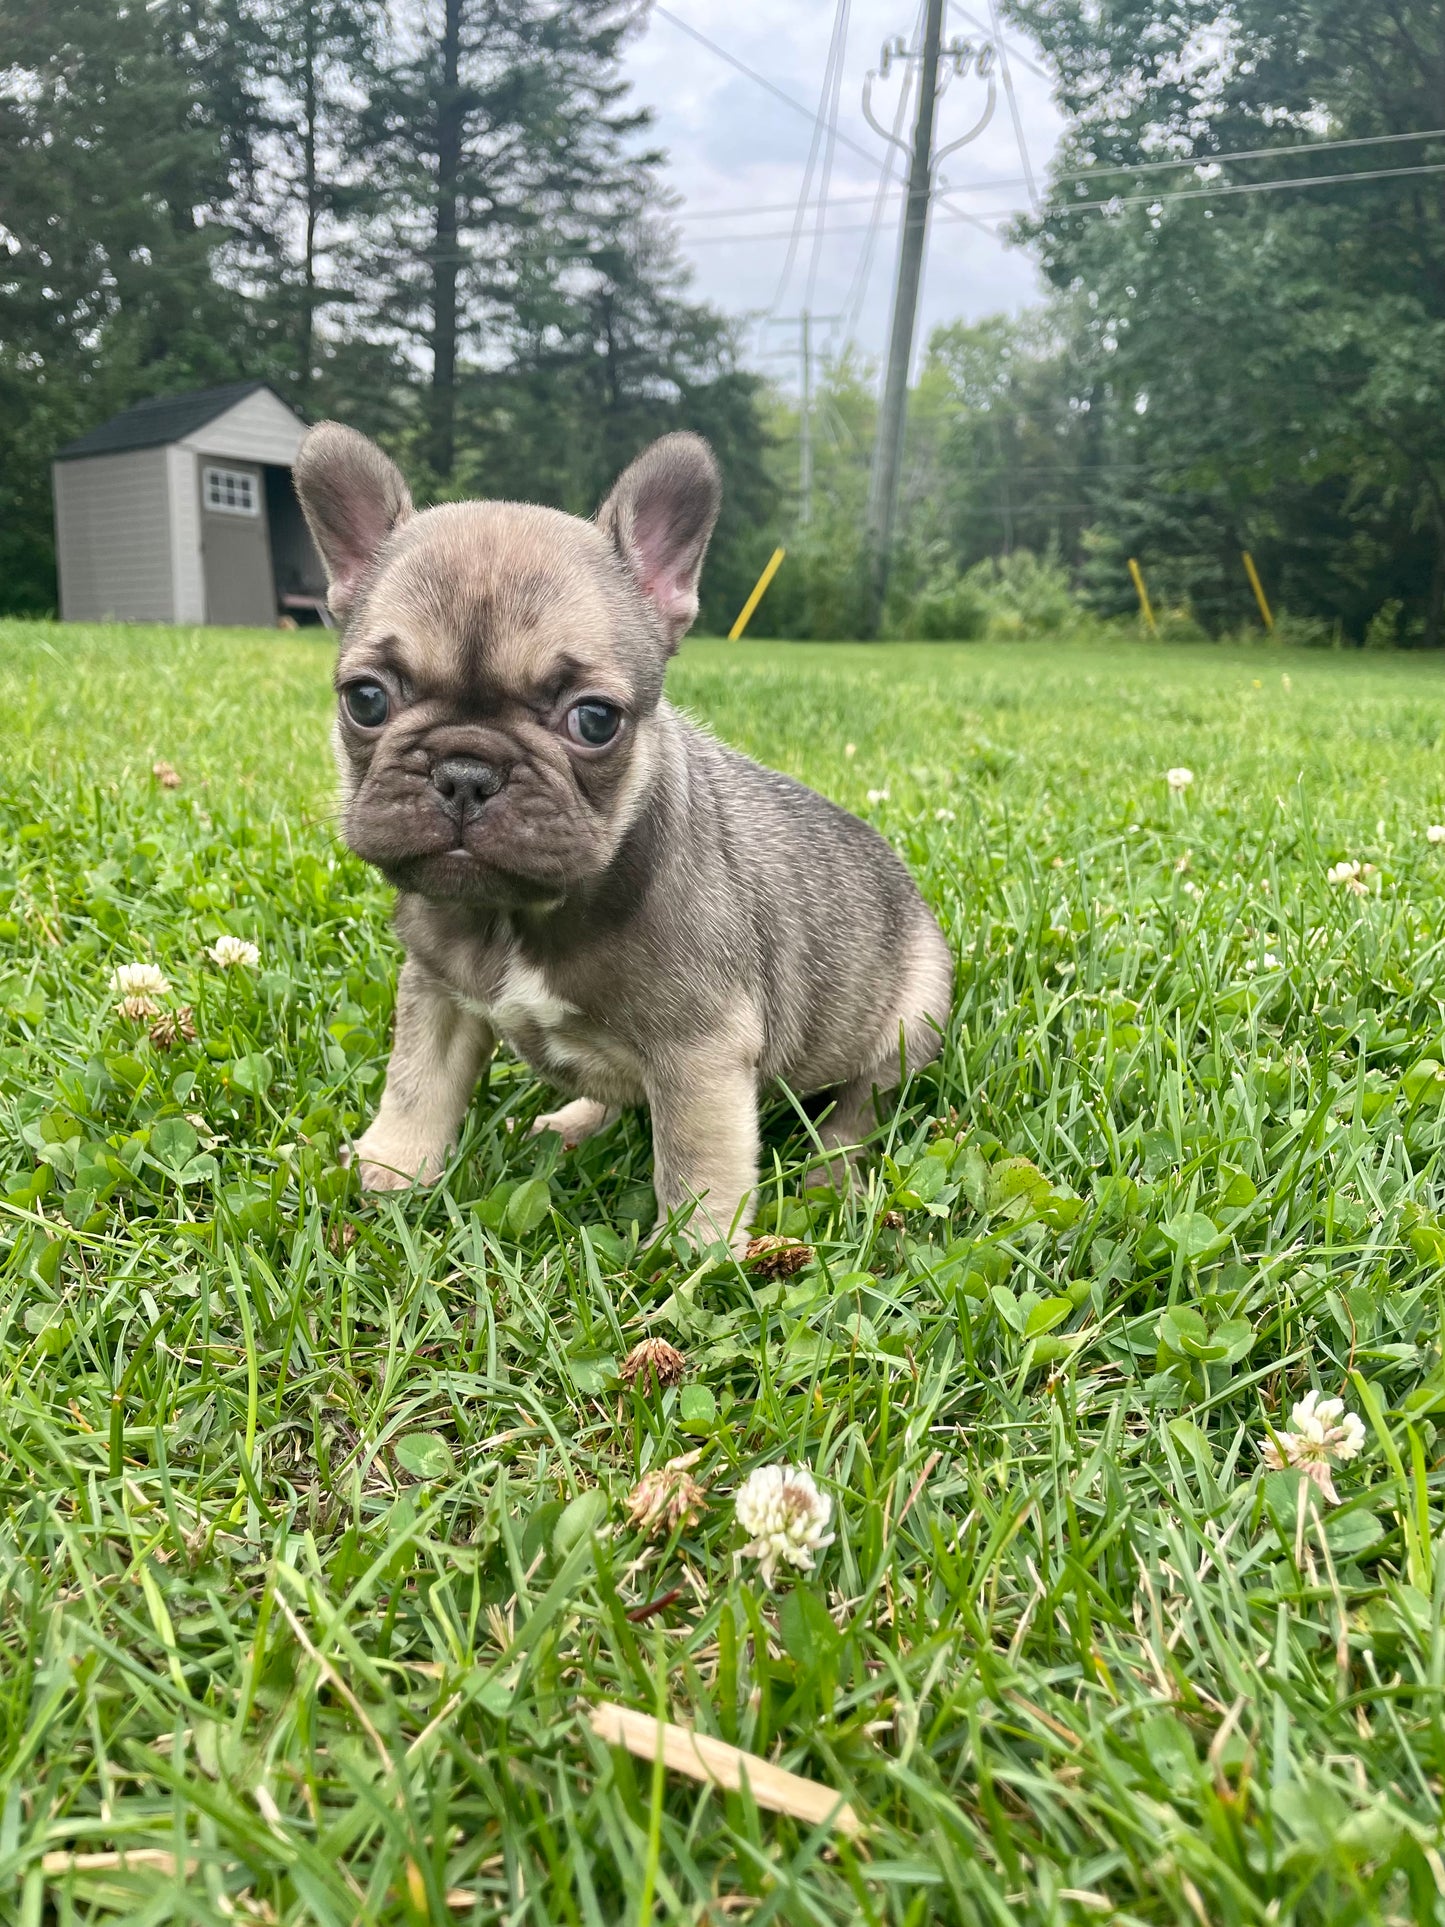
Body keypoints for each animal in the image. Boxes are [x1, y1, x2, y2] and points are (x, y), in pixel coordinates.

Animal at [294, 422, 955, 1248]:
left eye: (594, 719)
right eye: (366, 700)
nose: (465, 770)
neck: (518, 915)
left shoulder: (701, 1051)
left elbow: (696, 1159)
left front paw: (696, 1253)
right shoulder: (438, 992)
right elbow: (416, 1084)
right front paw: (391, 1165)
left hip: (908, 1017)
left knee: (859, 1105)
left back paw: (830, 1171)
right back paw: (570, 1122)